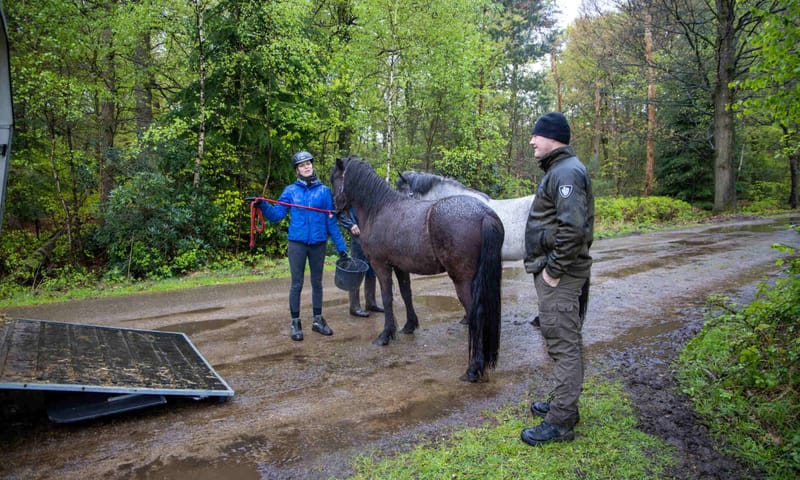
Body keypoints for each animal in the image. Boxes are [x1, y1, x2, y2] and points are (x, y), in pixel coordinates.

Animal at [330, 156, 504, 382]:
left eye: (334, 179)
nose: (335, 210)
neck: (379, 209)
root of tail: (484, 214)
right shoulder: (401, 267)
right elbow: (406, 294)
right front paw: (409, 326)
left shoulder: (381, 265)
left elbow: (387, 297)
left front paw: (385, 335)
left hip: (463, 281)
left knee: (477, 314)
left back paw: (473, 369)